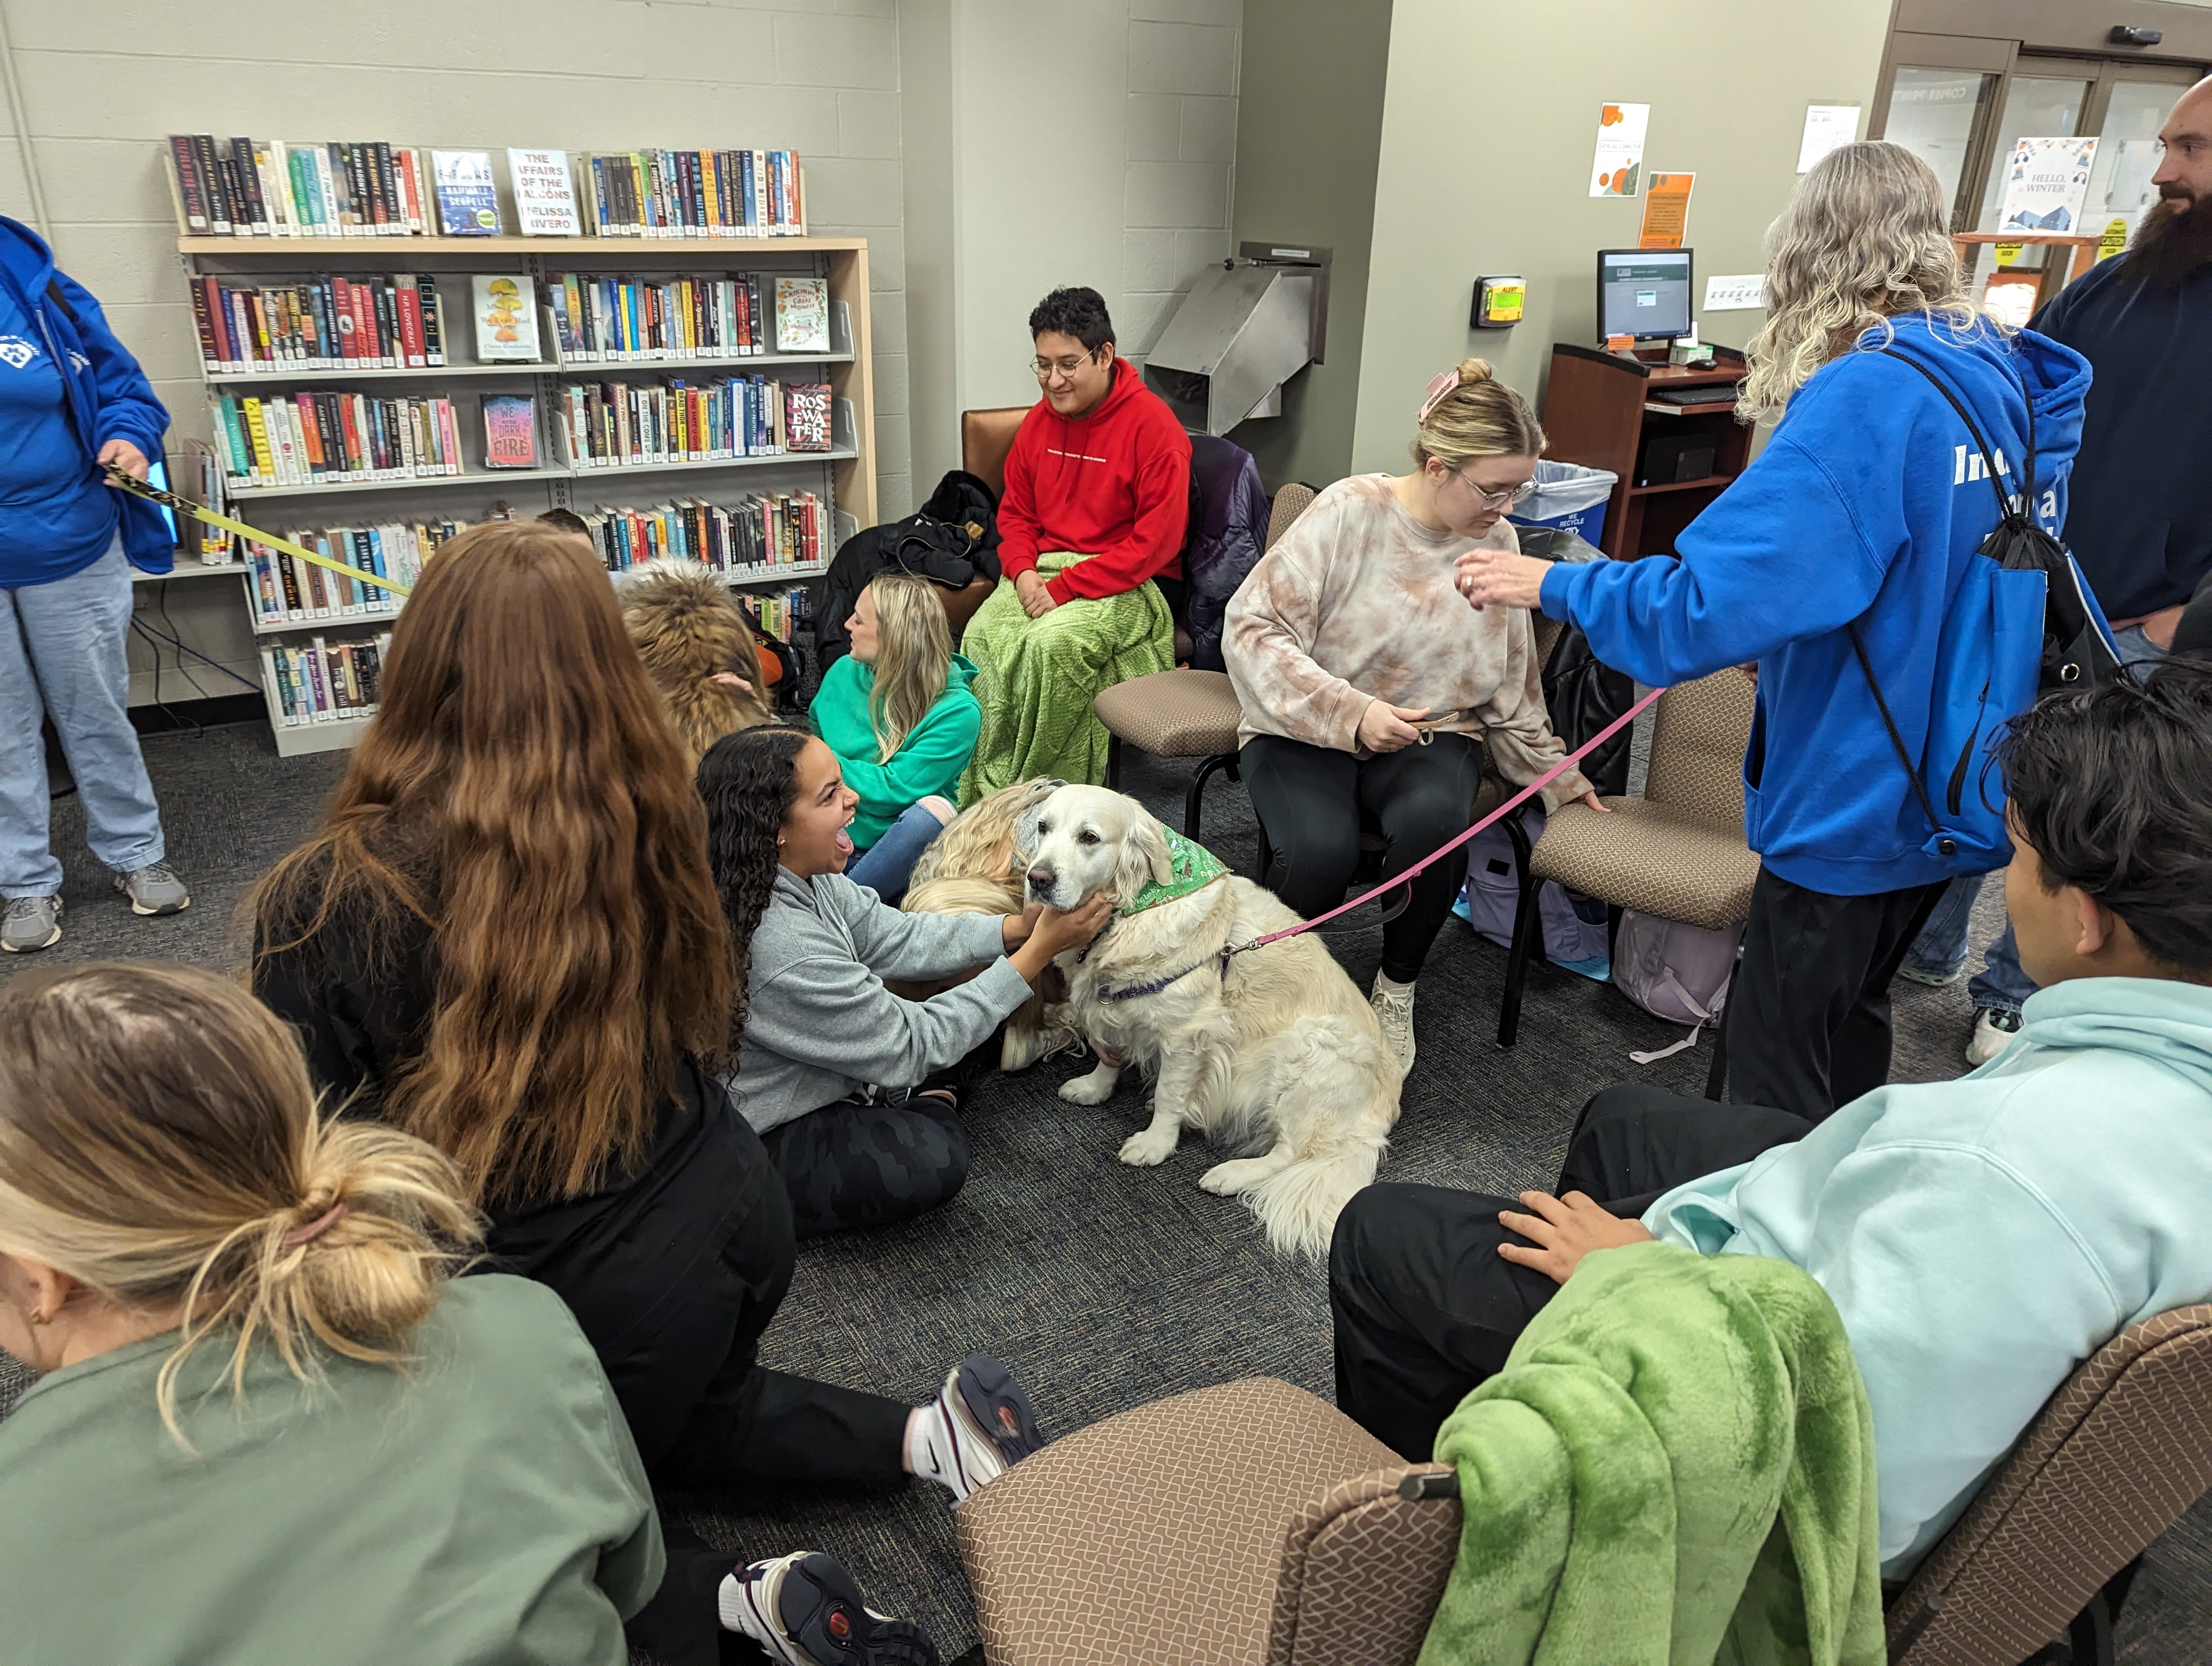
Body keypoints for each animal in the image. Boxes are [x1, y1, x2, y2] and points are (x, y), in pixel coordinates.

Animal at [1021, 787, 1398, 1257]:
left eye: (1089, 837)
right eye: (1043, 827)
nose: (1038, 879)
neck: (1131, 911)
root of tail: (1382, 1112)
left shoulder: (1187, 1034)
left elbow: (1170, 1095)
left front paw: (1156, 1143)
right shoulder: (1107, 998)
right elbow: (1108, 1050)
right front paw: (1095, 1088)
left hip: (1307, 1048)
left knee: (1290, 1152)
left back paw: (1231, 1174)